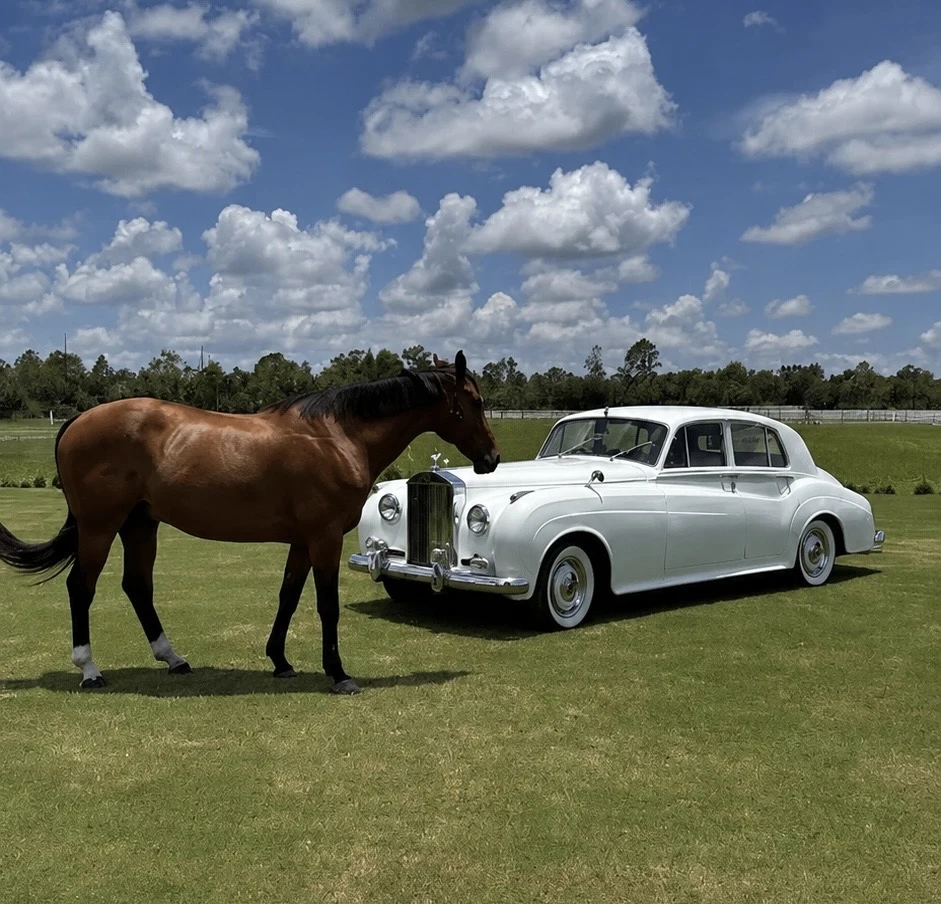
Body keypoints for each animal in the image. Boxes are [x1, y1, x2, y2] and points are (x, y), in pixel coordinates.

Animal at [0, 350, 500, 695]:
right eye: (475, 401)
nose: (492, 458)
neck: (336, 436)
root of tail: (79, 419)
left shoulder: (302, 541)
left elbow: (288, 597)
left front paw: (279, 660)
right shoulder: (323, 539)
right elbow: (326, 605)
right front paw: (338, 674)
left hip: (140, 525)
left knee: (137, 586)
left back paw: (173, 658)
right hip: (100, 527)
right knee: (81, 588)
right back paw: (89, 669)